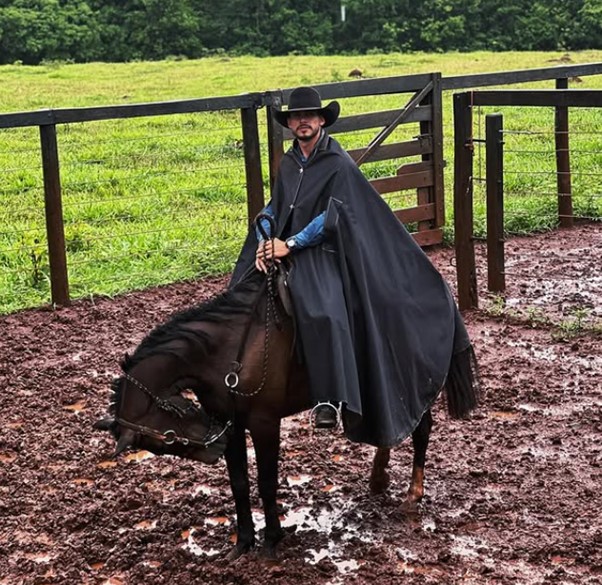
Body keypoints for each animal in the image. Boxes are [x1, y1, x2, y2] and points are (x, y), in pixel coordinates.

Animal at [95, 262, 478, 560]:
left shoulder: (264, 424)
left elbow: (266, 482)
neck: (227, 349)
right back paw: (378, 477)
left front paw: (272, 540)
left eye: (167, 437)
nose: (214, 447)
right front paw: (243, 543)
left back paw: (413, 494)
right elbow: (238, 483)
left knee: (420, 429)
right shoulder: (232, 424)